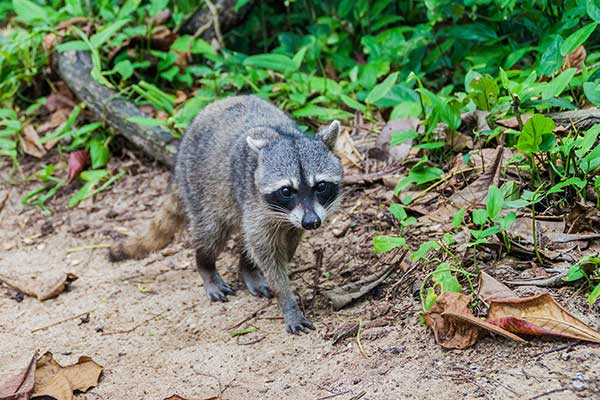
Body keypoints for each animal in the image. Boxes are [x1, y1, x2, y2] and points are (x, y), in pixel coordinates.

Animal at [109, 95, 342, 332]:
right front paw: (286, 300)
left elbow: (287, 243)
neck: (284, 136)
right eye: (286, 190)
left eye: (321, 186)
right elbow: (267, 252)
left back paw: (246, 268)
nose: (312, 222)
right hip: (199, 188)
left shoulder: (292, 221)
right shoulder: (256, 202)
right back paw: (205, 266)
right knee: (212, 235)